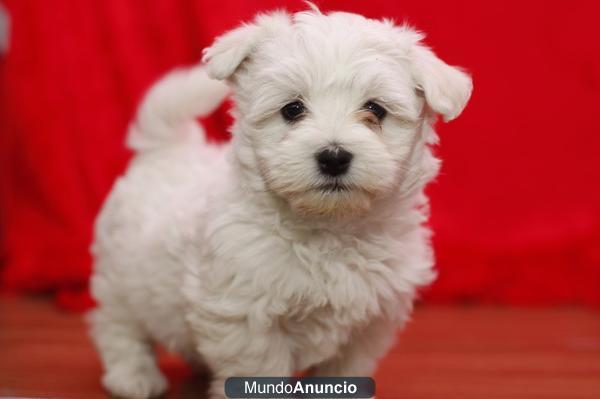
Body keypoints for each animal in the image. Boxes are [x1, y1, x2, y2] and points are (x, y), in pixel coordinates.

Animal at [89, 6, 474, 399]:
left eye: (375, 110)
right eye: (292, 109)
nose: (334, 157)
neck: (329, 229)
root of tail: (167, 149)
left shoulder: (369, 324)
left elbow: (344, 370)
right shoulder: (247, 316)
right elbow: (259, 370)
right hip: (120, 275)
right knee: (117, 324)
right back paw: (133, 375)